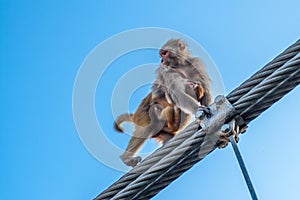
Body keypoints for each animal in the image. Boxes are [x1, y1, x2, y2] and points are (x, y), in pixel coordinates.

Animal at [113, 38, 212, 167]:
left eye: (165, 53)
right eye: (161, 54)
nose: (161, 60)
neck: (180, 65)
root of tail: (135, 115)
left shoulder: (196, 64)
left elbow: (205, 92)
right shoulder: (166, 71)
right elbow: (178, 95)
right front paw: (198, 110)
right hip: (142, 115)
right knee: (149, 125)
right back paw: (126, 158)